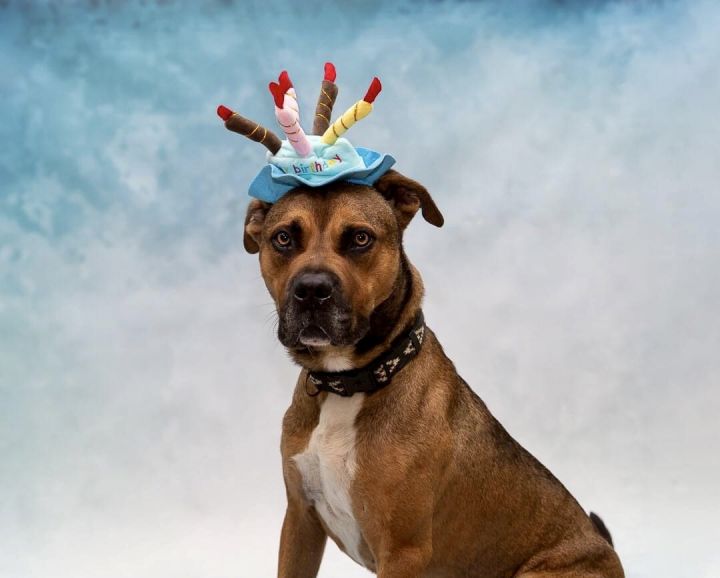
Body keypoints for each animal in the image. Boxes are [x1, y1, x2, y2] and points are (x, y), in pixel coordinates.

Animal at [243, 169, 625, 577]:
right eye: (283, 238)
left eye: (360, 238)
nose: (312, 289)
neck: (347, 385)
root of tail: (608, 550)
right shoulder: (299, 521)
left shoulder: (402, 551)